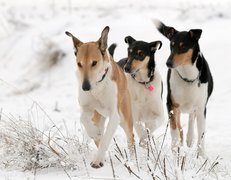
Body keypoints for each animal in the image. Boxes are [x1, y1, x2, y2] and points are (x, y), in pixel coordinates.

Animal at [65, 27, 134, 169]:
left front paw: (97, 161)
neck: (97, 87)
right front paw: (94, 134)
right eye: (79, 64)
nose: (85, 87)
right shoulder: (86, 109)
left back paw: (134, 160)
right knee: (97, 130)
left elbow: (106, 138)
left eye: (94, 63)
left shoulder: (114, 115)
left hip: (125, 118)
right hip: (98, 117)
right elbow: (84, 120)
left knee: (131, 139)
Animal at [154, 20, 214, 156]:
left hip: (194, 106)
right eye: (171, 45)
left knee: (191, 117)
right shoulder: (171, 104)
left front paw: (201, 157)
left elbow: (201, 135)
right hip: (178, 108)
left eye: (183, 46)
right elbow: (174, 129)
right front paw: (175, 150)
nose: (168, 63)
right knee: (180, 125)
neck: (188, 76)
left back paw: (189, 138)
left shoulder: (201, 108)